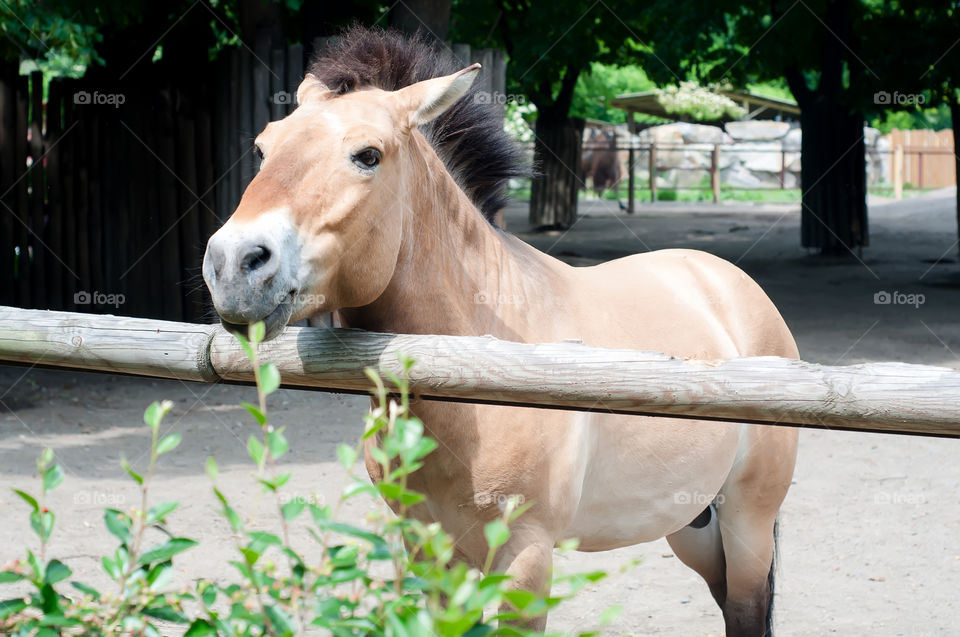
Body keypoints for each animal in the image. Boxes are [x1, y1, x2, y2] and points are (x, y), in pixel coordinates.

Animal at [204, 27, 804, 632]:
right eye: (263, 148)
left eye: (367, 155)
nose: (233, 263)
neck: (478, 376)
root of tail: (727, 282)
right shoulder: (429, 554)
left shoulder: (526, 559)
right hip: (692, 525)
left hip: (747, 523)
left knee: (747, 610)